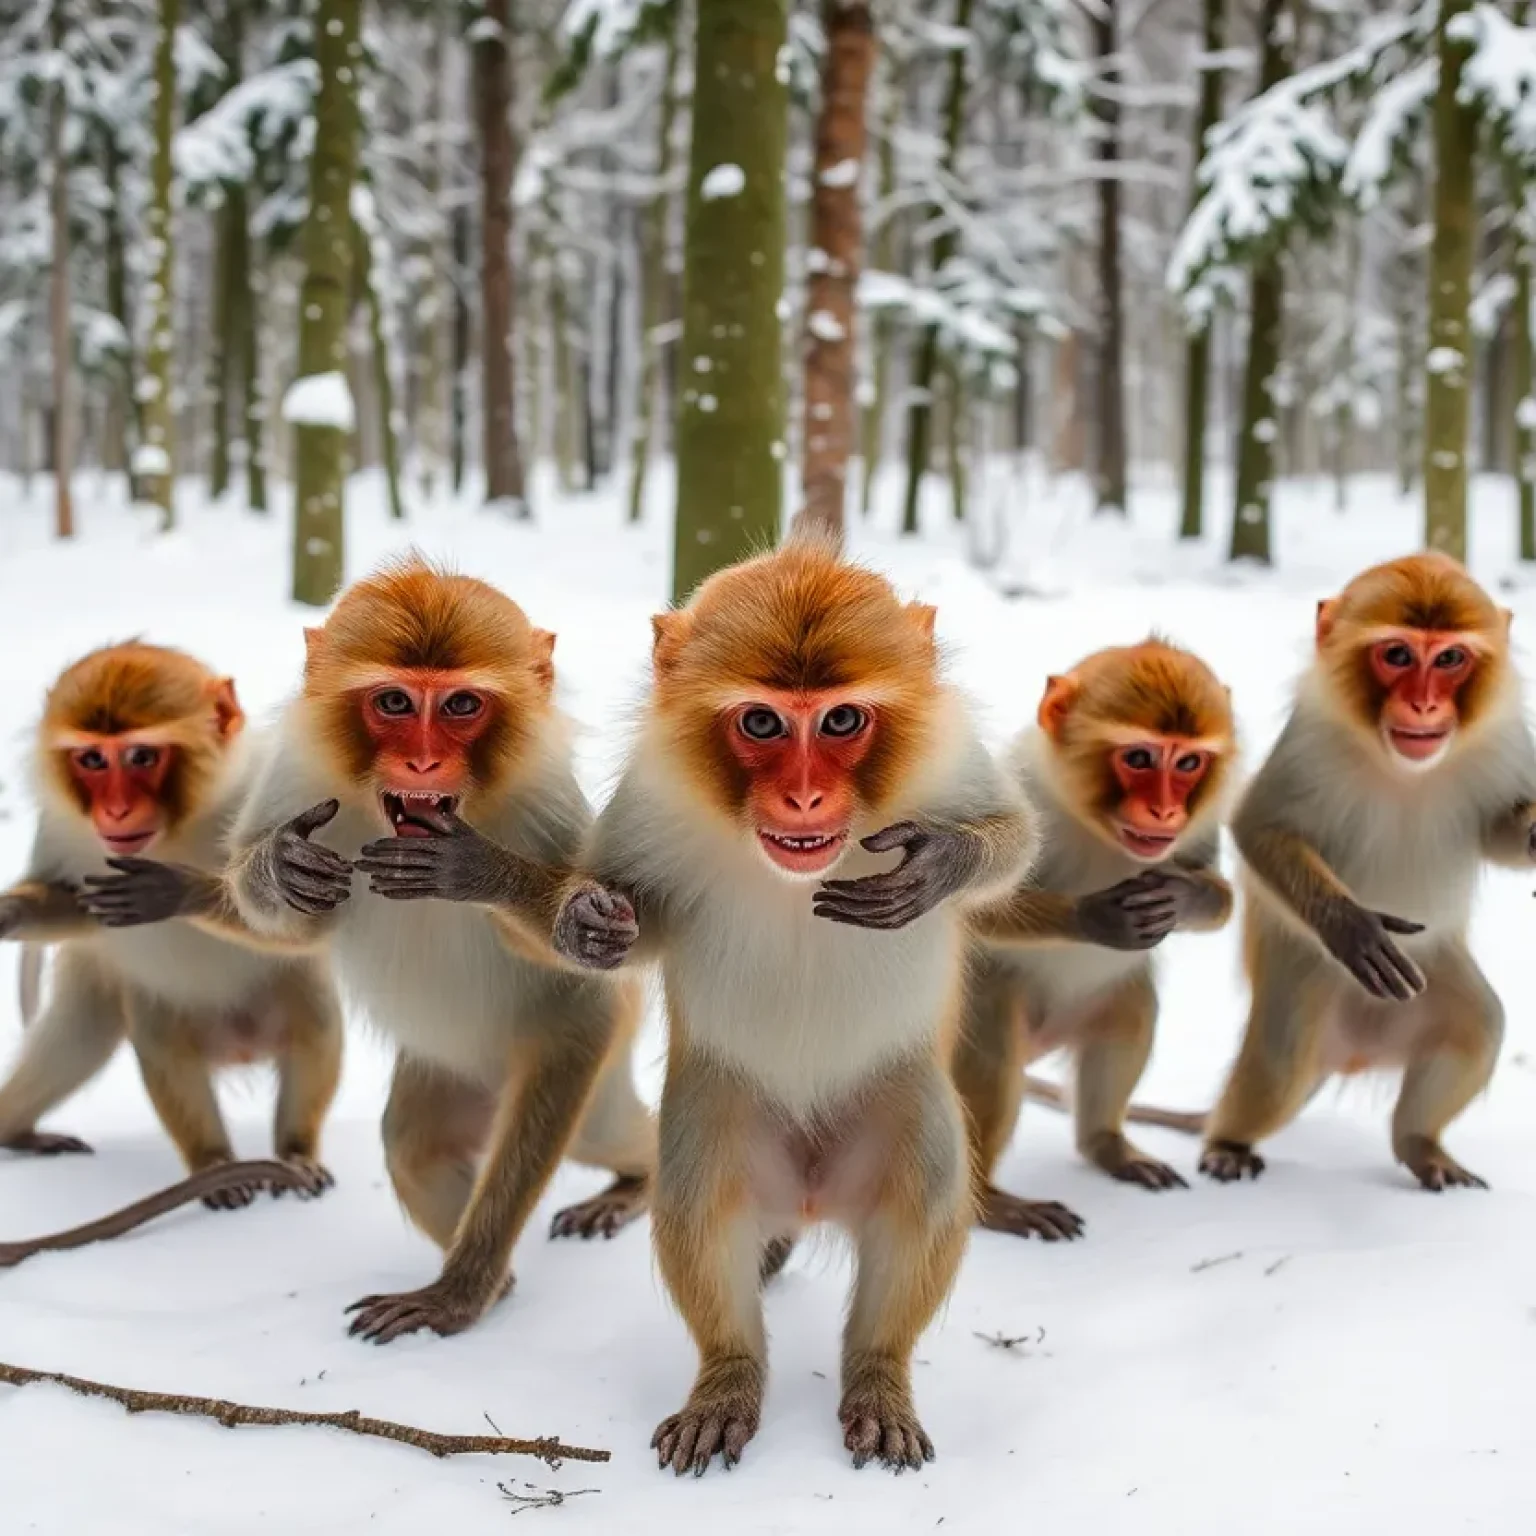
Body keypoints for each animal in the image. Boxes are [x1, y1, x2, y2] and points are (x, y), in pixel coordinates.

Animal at [0, 642, 339, 1204]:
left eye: (142, 756)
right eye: (92, 759)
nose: (115, 811)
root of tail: (238, 1047)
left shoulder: (268, 790)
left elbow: (309, 923)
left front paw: (180, 890)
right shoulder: (61, 830)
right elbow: (77, 906)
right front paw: (9, 914)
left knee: (313, 1021)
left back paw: (294, 1152)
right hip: (125, 995)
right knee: (116, 1046)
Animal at [108, 565, 657, 1345]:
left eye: (460, 704)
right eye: (395, 701)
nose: (422, 760)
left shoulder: (544, 805)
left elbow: (590, 953)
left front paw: (492, 879)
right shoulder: (297, 784)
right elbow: (294, 931)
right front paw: (261, 872)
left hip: (581, 1042)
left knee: (590, 1127)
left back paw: (478, 1279)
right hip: (453, 1071)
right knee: (415, 1149)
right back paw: (494, 1282)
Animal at [552, 540, 1044, 1474]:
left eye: (842, 721)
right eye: (763, 724)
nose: (807, 798)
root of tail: (810, 1197)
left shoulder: (952, 760)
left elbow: (1016, 839)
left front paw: (944, 861)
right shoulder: (650, 799)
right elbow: (638, 916)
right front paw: (587, 923)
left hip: (897, 1104)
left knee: (924, 1190)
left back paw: (877, 1376)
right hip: (723, 1113)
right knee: (698, 1203)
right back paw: (728, 1378)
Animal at [952, 642, 1241, 1241]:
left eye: (1188, 763)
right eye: (1139, 758)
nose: (1165, 812)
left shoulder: (1204, 824)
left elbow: (1221, 899)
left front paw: (1183, 896)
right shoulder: (1017, 790)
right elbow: (975, 907)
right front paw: (1097, 919)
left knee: (1132, 1014)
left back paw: (1107, 1146)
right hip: (987, 1002)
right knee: (992, 1057)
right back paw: (991, 1203)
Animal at [1198, 559, 1536, 1191]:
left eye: (1450, 658)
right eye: (1397, 655)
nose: (1424, 705)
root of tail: (1353, 1052)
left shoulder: (1508, 741)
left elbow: (1500, 830)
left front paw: (1532, 834)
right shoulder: (1309, 742)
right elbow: (1259, 826)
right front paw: (1351, 927)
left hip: (1432, 979)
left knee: (1478, 1024)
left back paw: (1422, 1146)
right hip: (1301, 979)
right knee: (1280, 1062)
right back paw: (1227, 1142)